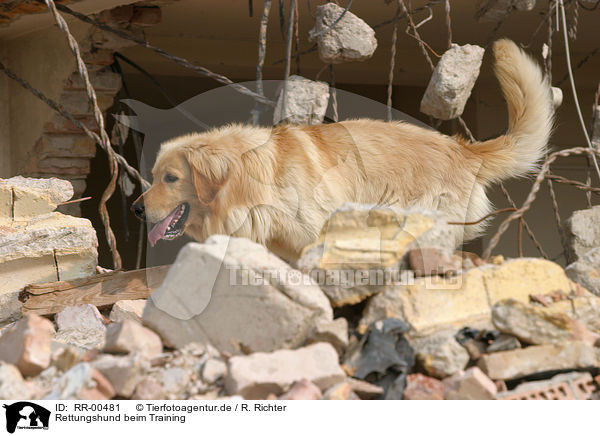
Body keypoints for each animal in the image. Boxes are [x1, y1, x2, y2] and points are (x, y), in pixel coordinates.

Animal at [132, 39, 552, 260]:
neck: (253, 182)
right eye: (154, 176)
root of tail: (462, 149)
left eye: (170, 178)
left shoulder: (317, 232)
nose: (135, 210)